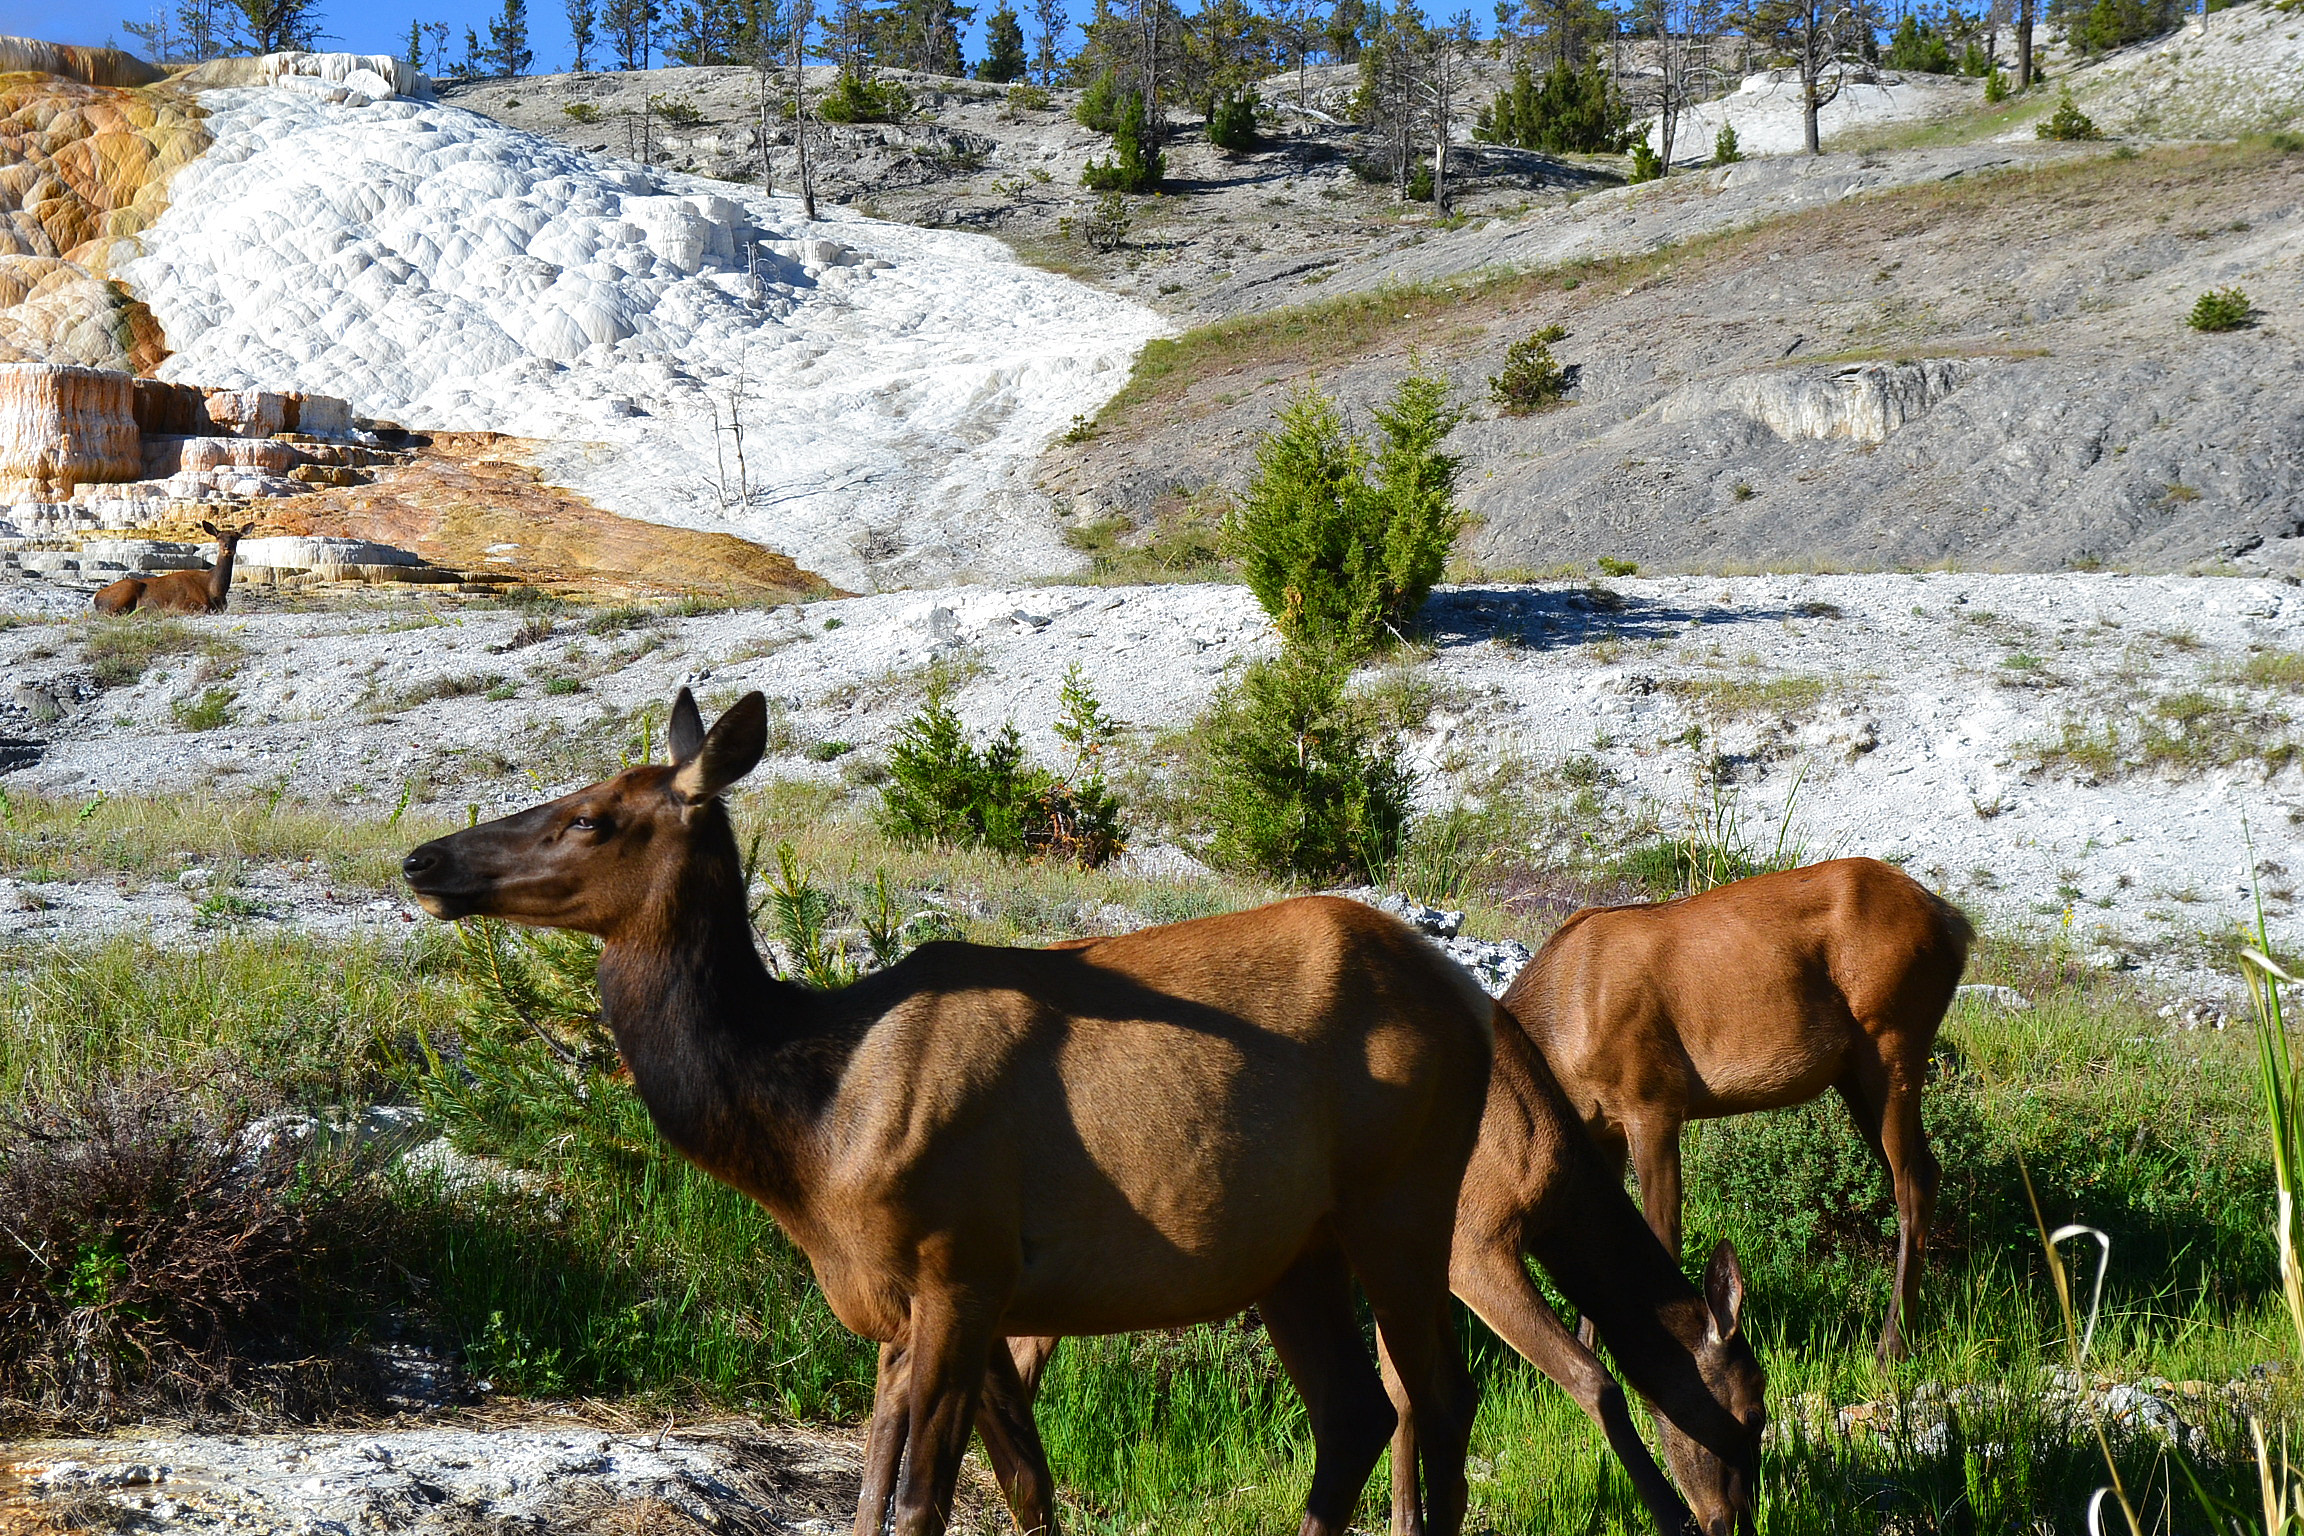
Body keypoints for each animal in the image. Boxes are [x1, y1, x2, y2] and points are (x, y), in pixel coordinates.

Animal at [89, 521, 254, 615]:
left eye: (236, 537)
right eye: (218, 537)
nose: (227, 547)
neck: (215, 591)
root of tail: (96, 598)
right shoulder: (184, 604)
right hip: (124, 591)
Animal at [401, 688, 1496, 1536]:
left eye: (594, 815)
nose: (424, 861)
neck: (808, 1130)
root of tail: (1466, 999)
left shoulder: (962, 1263)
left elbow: (926, 1500)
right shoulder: (906, 1296)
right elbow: (925, 1495)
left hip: (1404, 1201)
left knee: (1440, 1404)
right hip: (1292, 1250)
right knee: (1356, 1414)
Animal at [874, 988, 1768, 1536]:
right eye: (1753, 1411)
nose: (1738, 1522)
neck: (1552, 1170)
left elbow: (1405, 1395)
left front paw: (1408, 1520)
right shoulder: (1473, 1242)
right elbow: (1597, 1381)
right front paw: (1670, 1516)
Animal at [1506, 856, 1972, 1365]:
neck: (1562, 1047)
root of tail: (1955, 924)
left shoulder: (1653, 1099)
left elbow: (1662, 1236)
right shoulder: (1602, 1128)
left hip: (1894, 1037)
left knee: (1912, 1181)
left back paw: (1892, 1345)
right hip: (1854, 1072)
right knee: (1926, 1169)